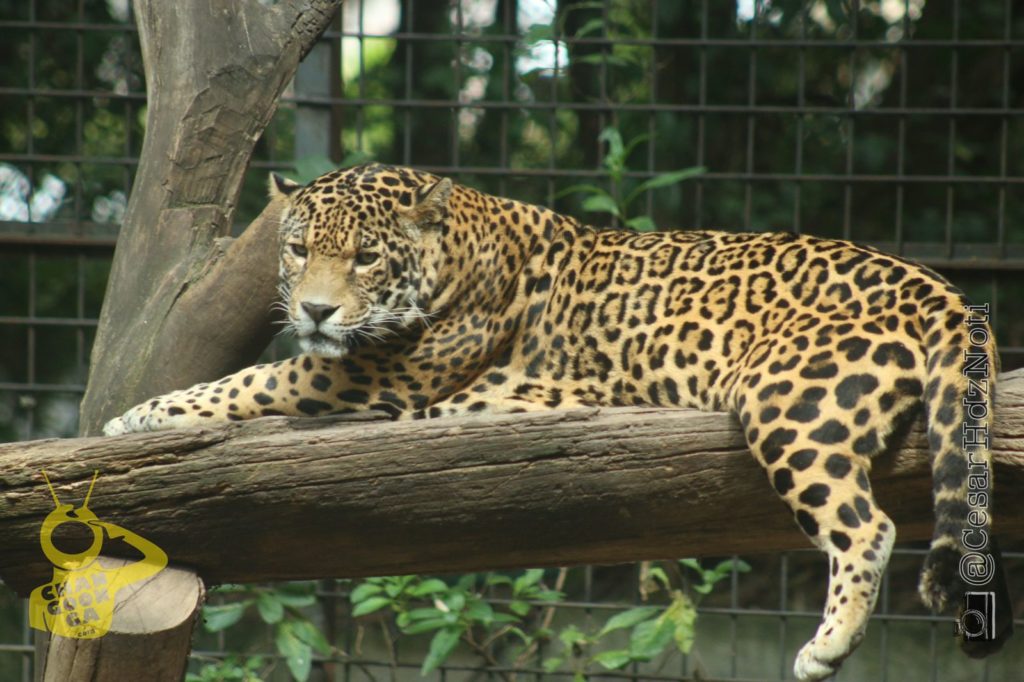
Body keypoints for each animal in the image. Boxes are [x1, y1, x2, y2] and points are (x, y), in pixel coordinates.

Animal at [103, 163, 1012, 680]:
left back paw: (828, 646)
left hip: (792, 402)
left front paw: (134, 417)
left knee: (866, 526)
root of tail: (940, 286)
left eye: (364, 258)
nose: (316, 309)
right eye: (296, 250)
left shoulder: (363, 376)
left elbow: (251, 379)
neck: (457, 248)